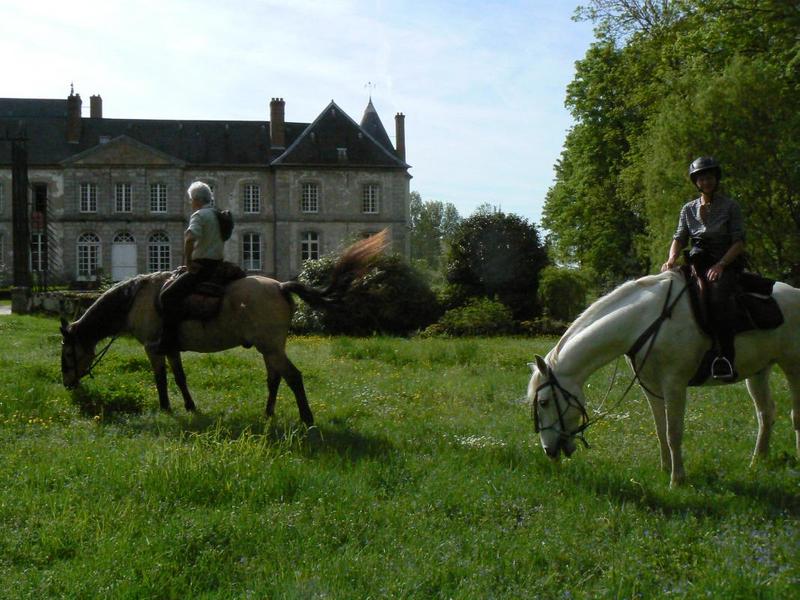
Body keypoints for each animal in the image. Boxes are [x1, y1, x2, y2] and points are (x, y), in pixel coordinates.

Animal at [60, 229, 390, 422]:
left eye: (67, 354)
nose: (68, 385)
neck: (136, 299)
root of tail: (281, 286)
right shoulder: (171, 348)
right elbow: (180, 378)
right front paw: (190, 407)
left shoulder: (153, 349)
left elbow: (161, 380)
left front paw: (165, 409)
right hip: (270, 348)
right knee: (275, 378)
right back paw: (268, 414)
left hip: (271, 346)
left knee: (293, 377)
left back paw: (306, 419)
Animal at [528, 270, 796, 488]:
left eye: (543, 402)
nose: (548, 451)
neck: (644, 322)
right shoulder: (651, 387)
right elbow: (660, 429)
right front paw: (665, 468)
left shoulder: (674, 384)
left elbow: (673, 432)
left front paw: (677, 480)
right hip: (759, 371)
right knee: (766, 413)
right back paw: (757, 461)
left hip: (793, 365)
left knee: (794, 416)